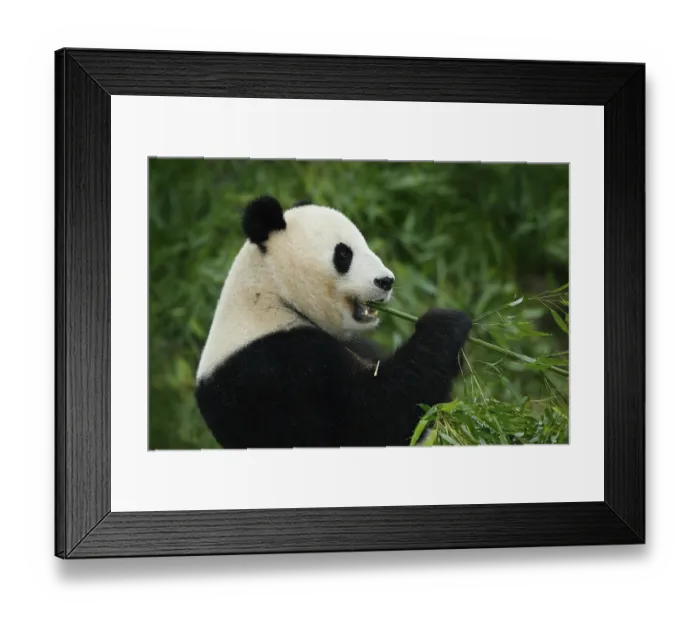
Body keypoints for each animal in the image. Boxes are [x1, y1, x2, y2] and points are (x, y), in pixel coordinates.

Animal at [194, 195, 473, 449]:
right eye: (343, 253)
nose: (386, 281)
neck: (273, 295)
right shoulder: (274, 370)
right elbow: (370, 418)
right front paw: (446, 322)